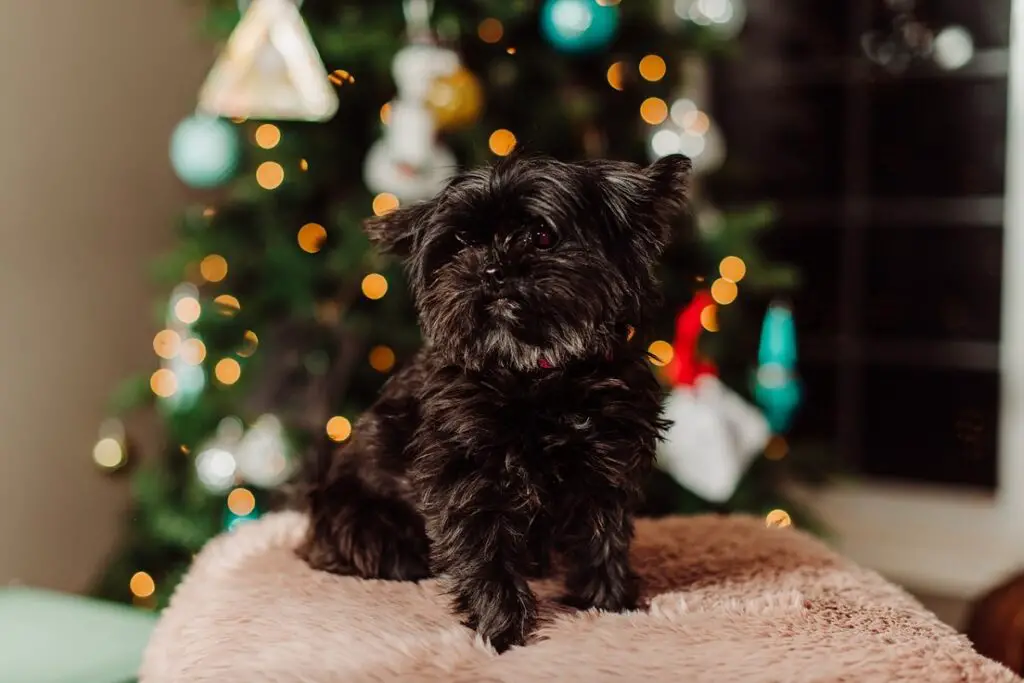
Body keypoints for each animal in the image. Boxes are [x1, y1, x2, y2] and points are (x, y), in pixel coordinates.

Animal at [299, 152, 692, 655]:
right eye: (463, 243)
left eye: (541, 235)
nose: (491, 267)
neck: (538, 375)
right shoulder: (466, 477)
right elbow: (483, 553)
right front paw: (502, 634)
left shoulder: (607, 470)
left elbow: (604, 540)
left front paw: (608, 606)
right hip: (365, 523)